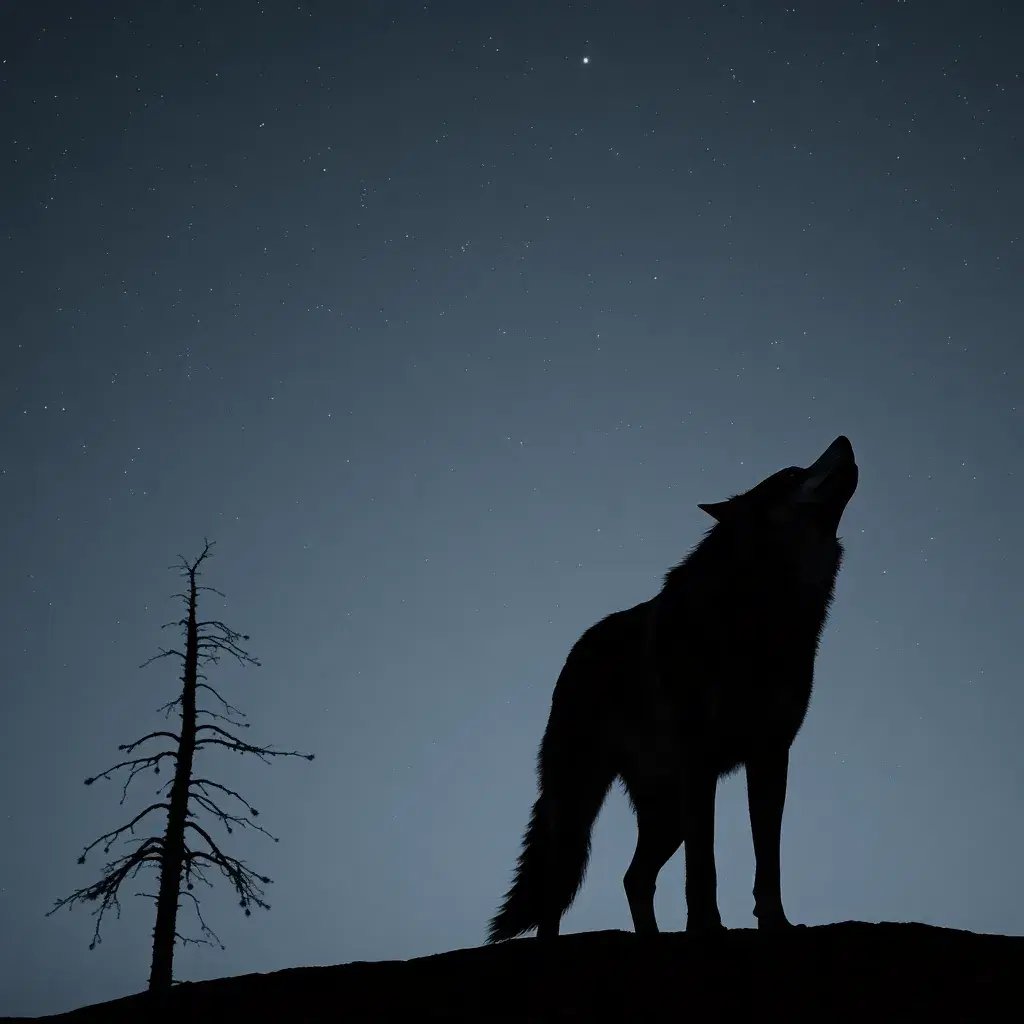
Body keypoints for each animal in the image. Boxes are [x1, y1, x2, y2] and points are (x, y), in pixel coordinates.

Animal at [488, 436, 858, 942]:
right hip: (582, 799)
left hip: (665, 814)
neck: (760, 614)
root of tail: (579, 648)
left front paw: (775, 924)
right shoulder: (700, 759)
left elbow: (769, 860)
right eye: (790, 474)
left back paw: (650, 938)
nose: (844, 439)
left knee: (633, 877)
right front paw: (706, 928)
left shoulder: (770, 755)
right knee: (557, 882)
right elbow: (704, 865)